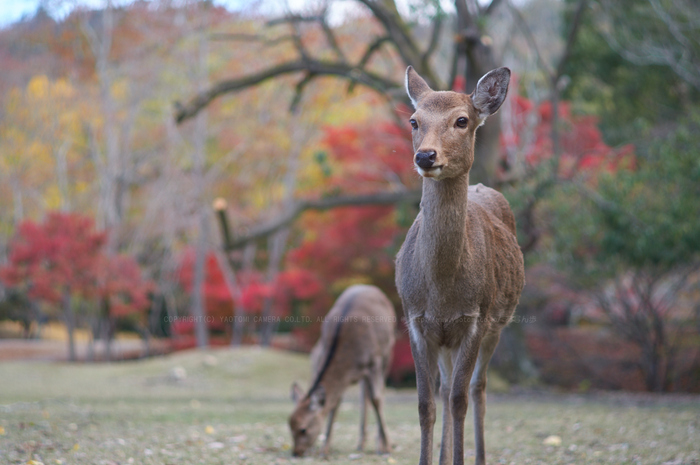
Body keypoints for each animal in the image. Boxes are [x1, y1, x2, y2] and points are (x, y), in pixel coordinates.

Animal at [288, 282, 394, 456]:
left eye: (303, 429)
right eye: (290, 426)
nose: (296, 452)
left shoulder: (375, 361)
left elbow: (377, 399)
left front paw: (388, 447)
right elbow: (335, 403)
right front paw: (324, 449)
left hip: (387, 353)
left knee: (379, 393)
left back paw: (380, 445)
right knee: (364, 395)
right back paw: (361, 443)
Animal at [394, 66, 524, 464]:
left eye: (462, 120)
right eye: (414, 120)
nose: (425, 156)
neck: (441, 291)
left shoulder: (474, 318)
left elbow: (459, 401)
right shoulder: (416, 319)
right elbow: (426, 404)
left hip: (499, 322)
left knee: (478, 388)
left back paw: (479, 456)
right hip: (446, 340)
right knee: (449, 385)